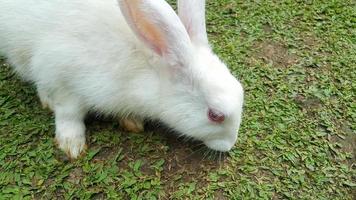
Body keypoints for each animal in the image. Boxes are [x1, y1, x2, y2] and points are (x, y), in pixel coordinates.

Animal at [0, 0, 243, 159]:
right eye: (215, 115)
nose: (229, 145)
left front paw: (132, 122)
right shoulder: (62, 77)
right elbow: (68, 114)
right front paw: (72, 145)